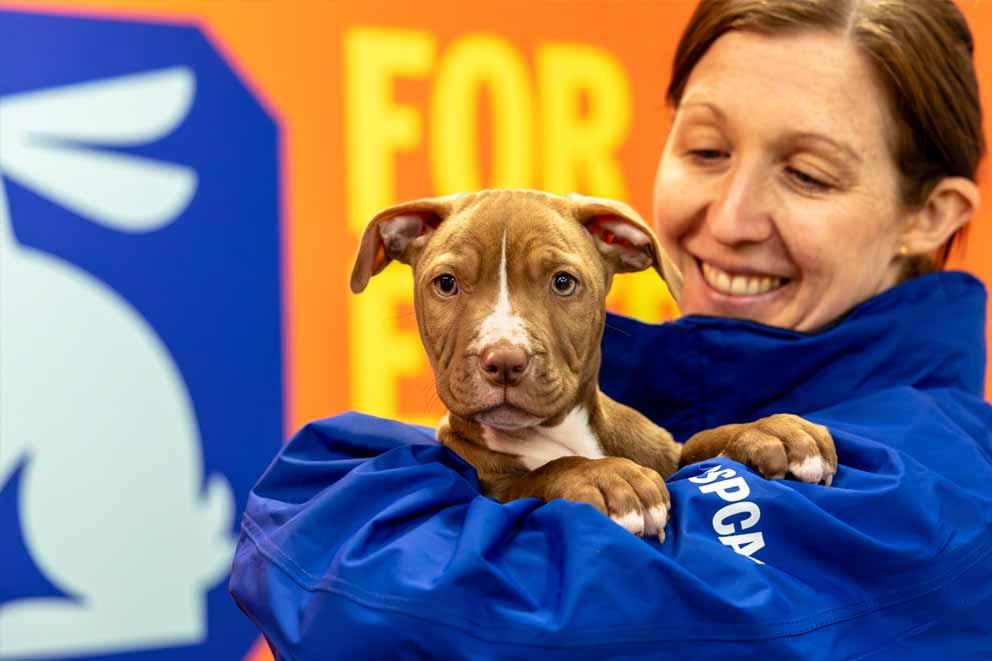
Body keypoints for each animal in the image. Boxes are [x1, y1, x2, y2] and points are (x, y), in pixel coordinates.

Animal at [352, 188, 832, 540]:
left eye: (563, 282)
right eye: (447, 284)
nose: (504, 359)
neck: (564, 433)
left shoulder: (667, 450)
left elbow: (698, 442)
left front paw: (769, 430)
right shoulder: (494, 486)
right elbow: (541, 474)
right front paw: (605, 478)